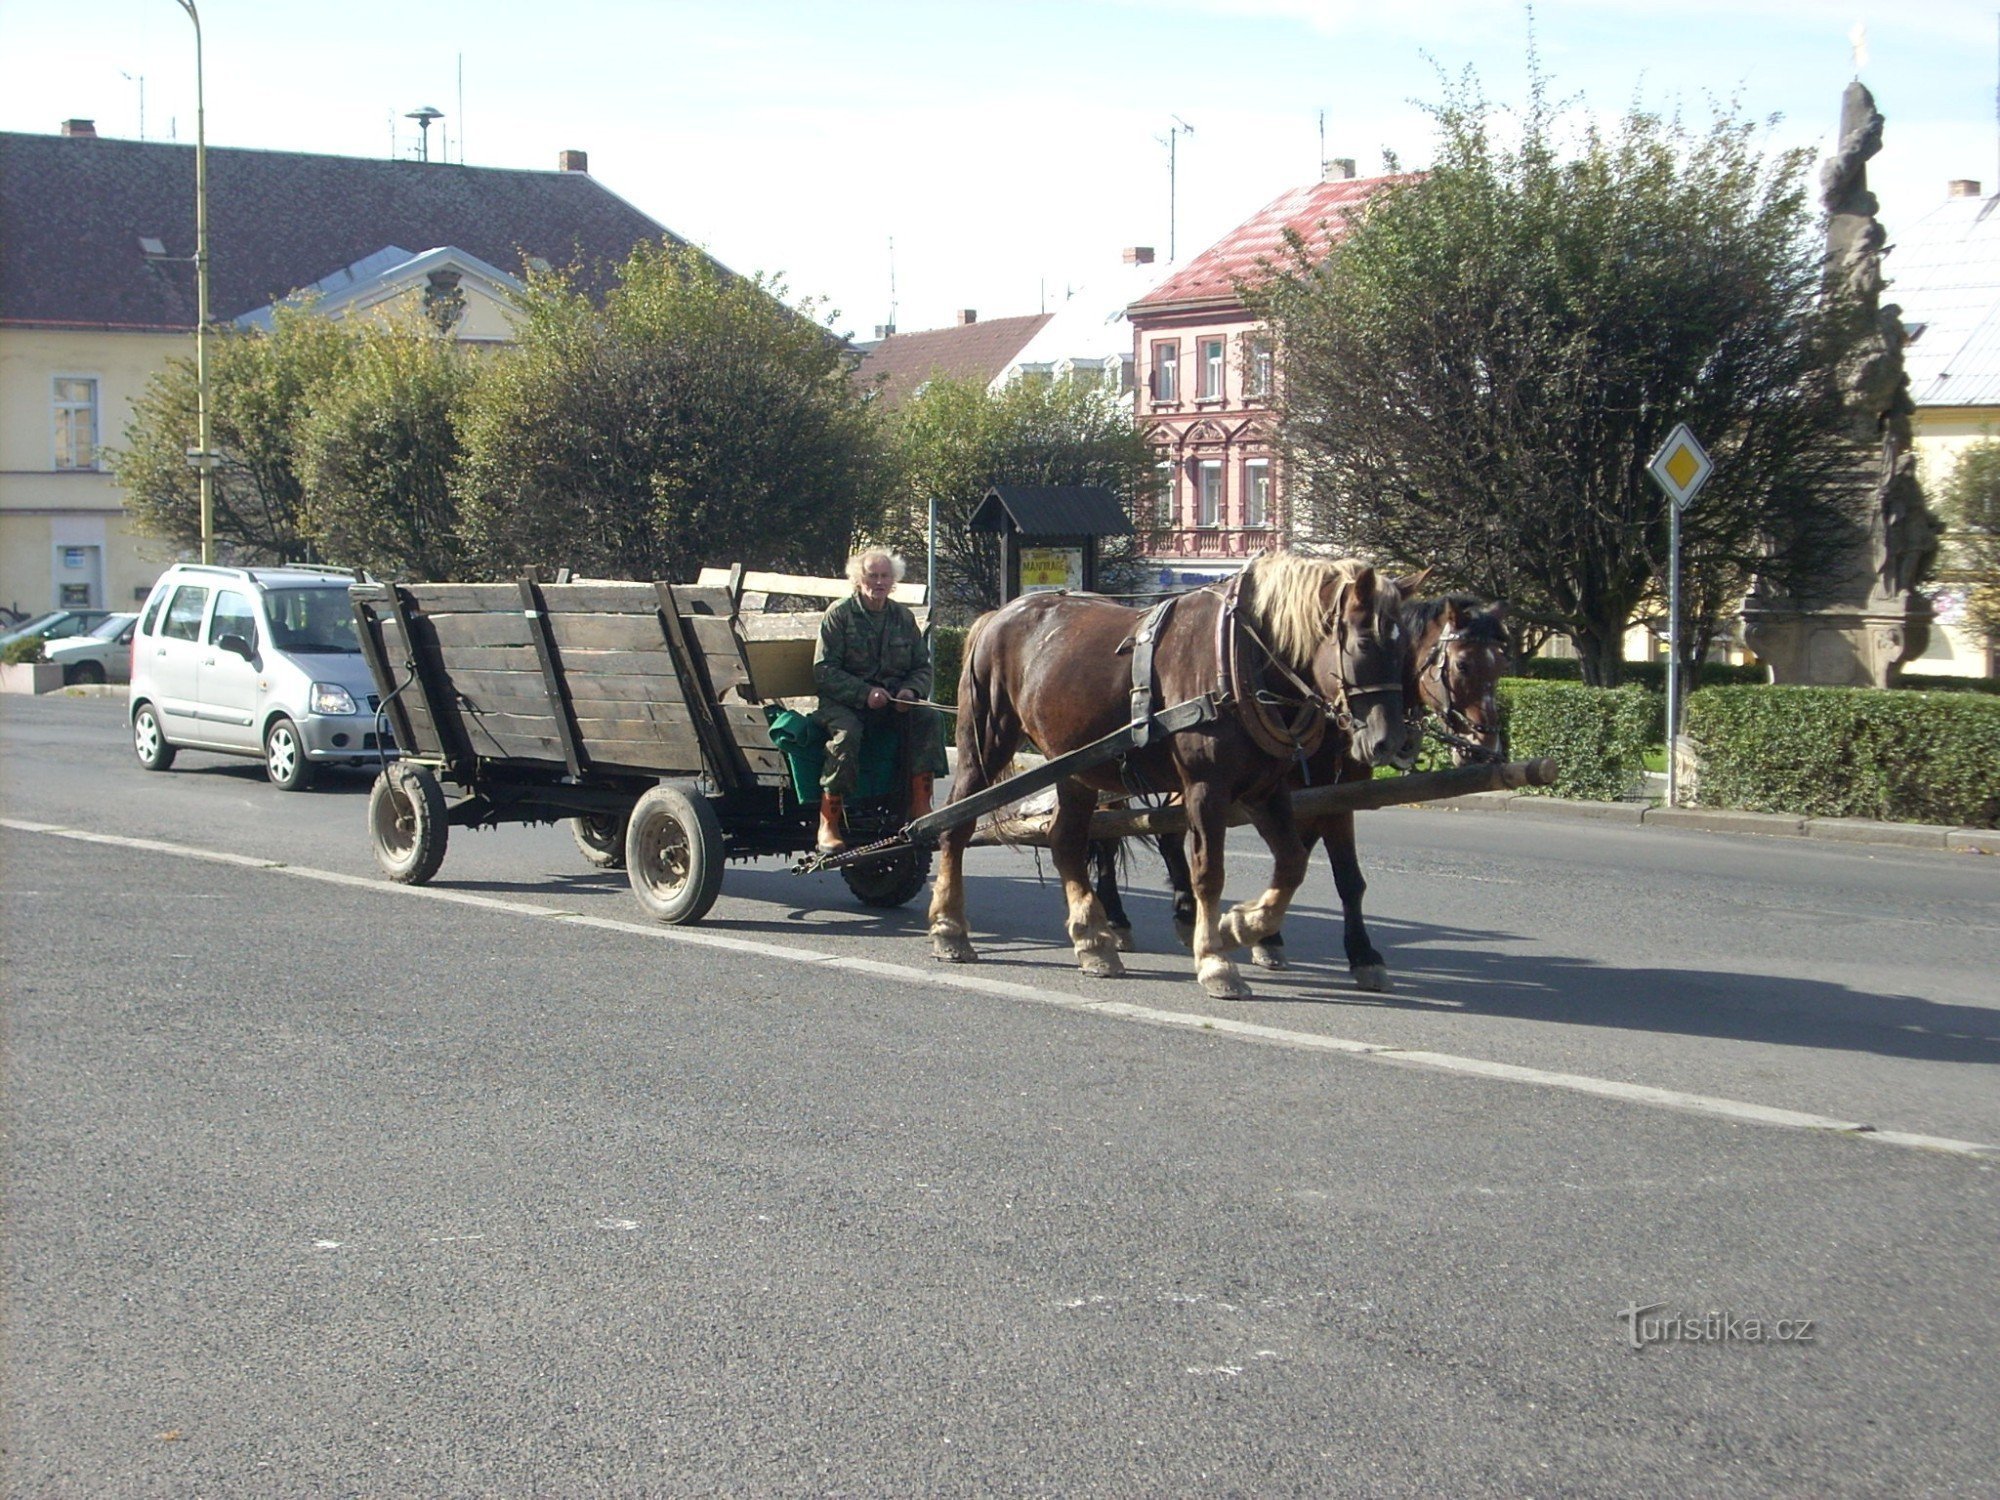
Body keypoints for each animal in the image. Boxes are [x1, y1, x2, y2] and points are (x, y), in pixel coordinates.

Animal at [928, 552, 1416, 1000]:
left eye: (1405, 651)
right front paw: (1216, 959)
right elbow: (1208, 872)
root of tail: (997, 615)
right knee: (956, 824)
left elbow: (1293, 863)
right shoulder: (1205, 789)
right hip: (986, 741)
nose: (1390, 741)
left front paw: (1240, 926)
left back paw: (1094, 940)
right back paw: (951, 927)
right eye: (1364, 644)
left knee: (1065, 840)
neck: (1238, 658)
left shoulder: (1266, 790)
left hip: (1074, 764)